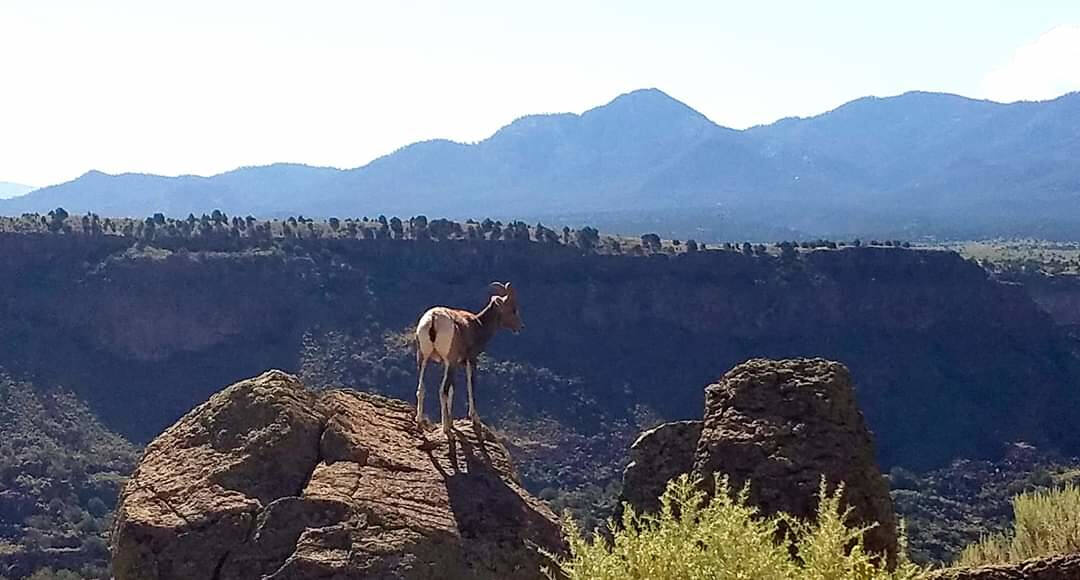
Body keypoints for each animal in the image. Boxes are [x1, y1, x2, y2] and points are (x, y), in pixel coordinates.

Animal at [412, 280, 522, 434]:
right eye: (513, 309)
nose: (520, 327)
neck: (478, 326)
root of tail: (433, 318)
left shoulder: (452, 364)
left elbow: (453, 389)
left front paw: (452, 421)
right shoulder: (471, 360)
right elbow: (470, 385)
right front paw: (474, 418)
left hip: (423, 358)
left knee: (422, 388)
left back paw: (420, 422)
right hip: (449, 362)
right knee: (442, 390)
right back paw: (445, 428)